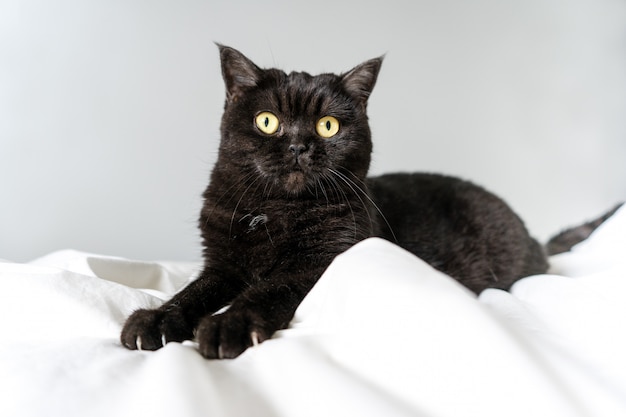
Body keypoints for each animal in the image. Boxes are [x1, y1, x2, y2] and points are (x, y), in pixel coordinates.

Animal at [119, 44, 608, 358]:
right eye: (267, 121)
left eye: (328, 126)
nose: (298, 146)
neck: (274, 213)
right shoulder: (221, 265)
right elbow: (190, 293)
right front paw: (156, 321)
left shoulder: (320, 263)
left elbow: (267, 289)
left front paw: (226, 326)